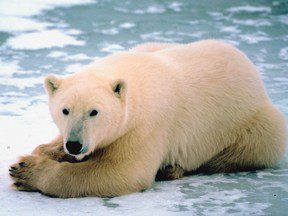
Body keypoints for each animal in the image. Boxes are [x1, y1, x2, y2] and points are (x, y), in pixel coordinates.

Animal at [9, 40, 286, 197]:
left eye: (94, 111)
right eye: (65, 110)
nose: (75, 145)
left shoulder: (146, 126)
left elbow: (124, 171)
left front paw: (26, 172)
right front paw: (41, 154)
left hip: (253, 121)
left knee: (253, 145)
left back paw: (172, 169)